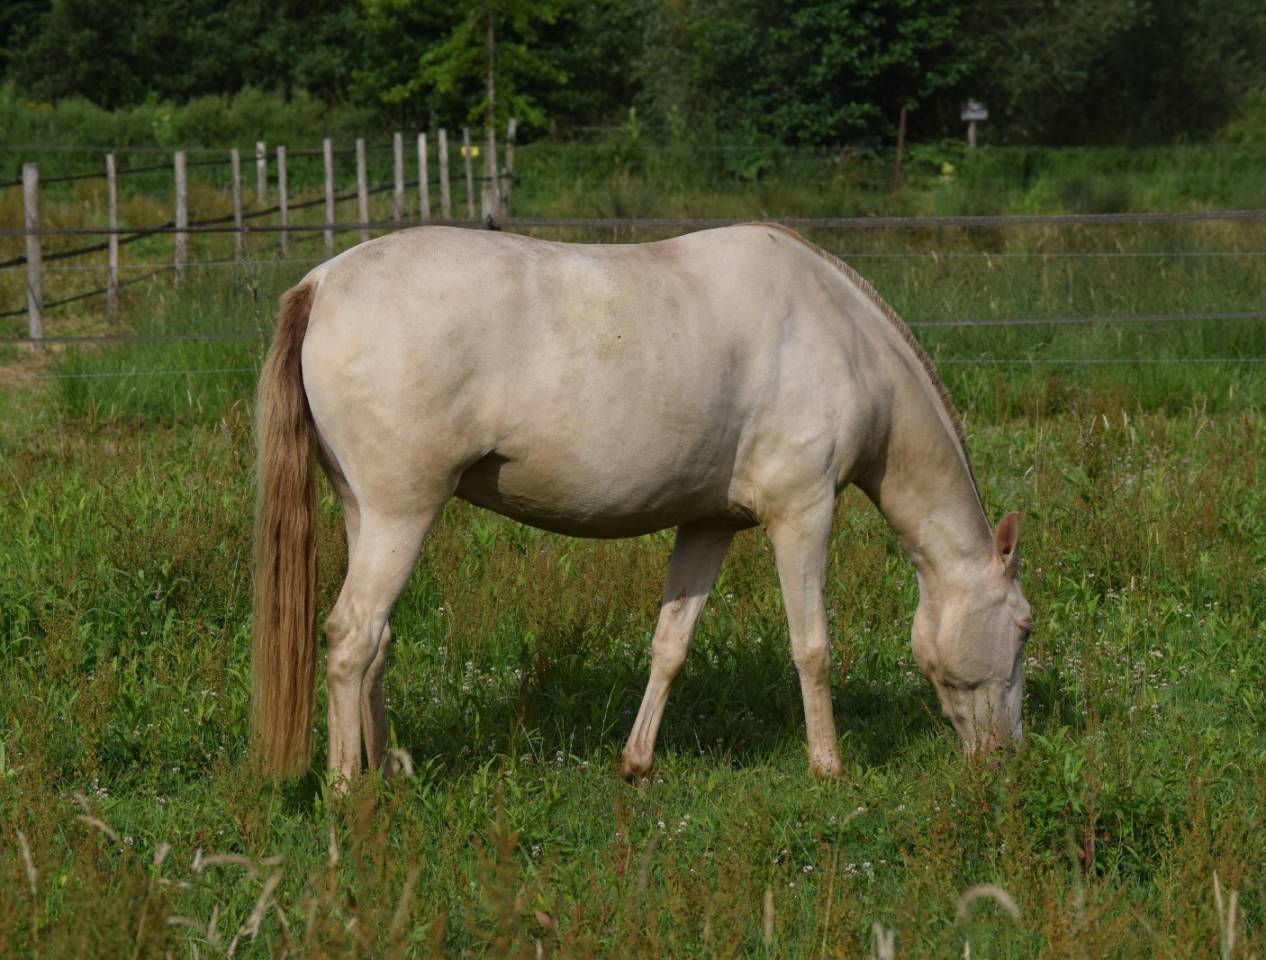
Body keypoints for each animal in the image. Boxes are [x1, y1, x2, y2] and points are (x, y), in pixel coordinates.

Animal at [250, 223, 1032, 783]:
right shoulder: (802, 514)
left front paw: (636, 762)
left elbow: (670, 645)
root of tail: (322, 283)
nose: (1006, 756)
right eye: (1023, 628)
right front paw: (829, 767)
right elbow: (811, 645)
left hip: (364, 512)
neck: (841, 337)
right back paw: (347, 790)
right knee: (352, 638)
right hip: (400, 515)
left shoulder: (709, 524)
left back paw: (385, 768)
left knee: (375, 643)